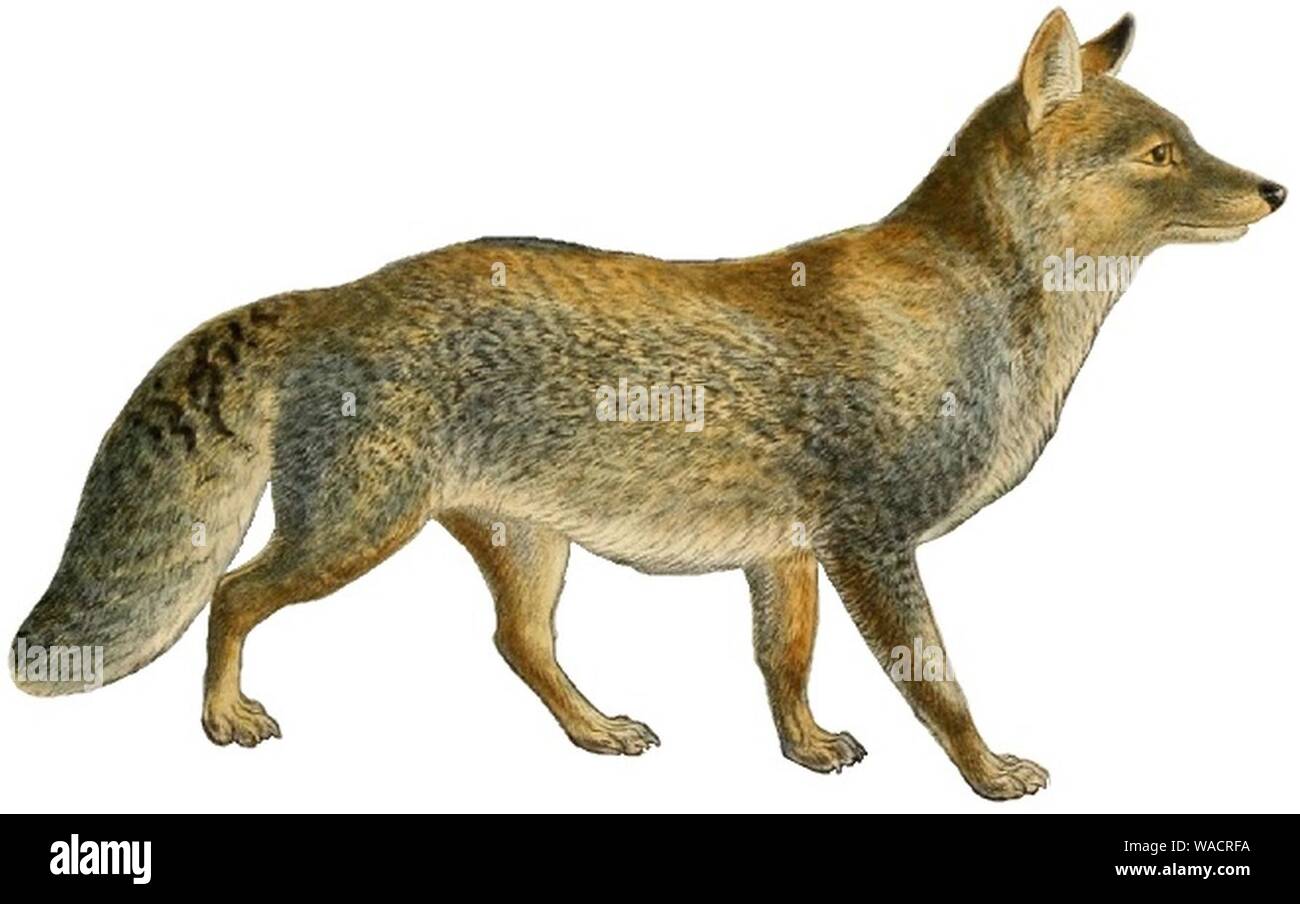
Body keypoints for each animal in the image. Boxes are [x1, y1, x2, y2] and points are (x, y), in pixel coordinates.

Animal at [8, 9, 1287, 800]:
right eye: (1161, 155)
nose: (1276, 189)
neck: (987, 319)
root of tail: (337, 291)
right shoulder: (872, 541)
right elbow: (936, 681)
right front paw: (985, 774)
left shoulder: (791, 550)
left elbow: (783, 664)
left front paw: (804, 750)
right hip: (354, 534)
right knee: (232, 593)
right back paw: (224, 717)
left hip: (523, 546)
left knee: (515, 643)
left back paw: (593, 730)